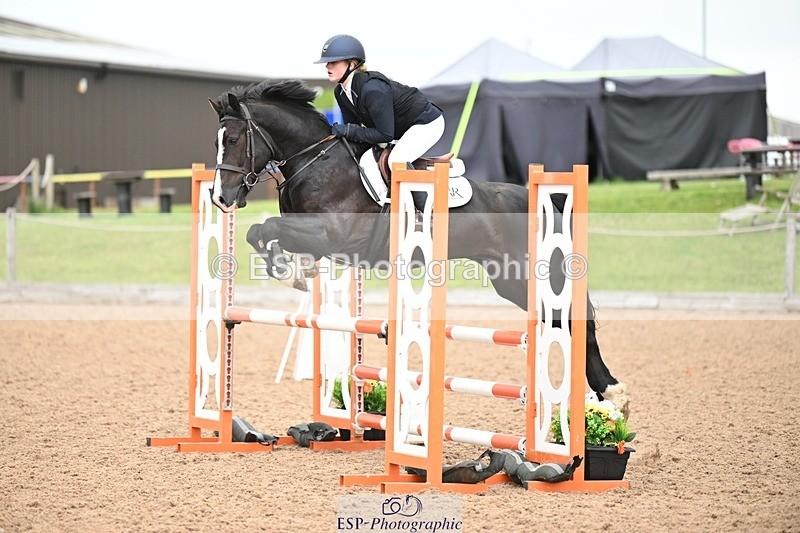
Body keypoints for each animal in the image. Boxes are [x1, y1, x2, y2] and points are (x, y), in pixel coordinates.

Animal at [208, 80, 629, 414]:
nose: (221, 198)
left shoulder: (332, 234)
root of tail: (544, 201)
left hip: (531, 274)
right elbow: (259, 232)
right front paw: (293, 270)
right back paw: (604, 397)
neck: (314, 158)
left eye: (233, 140)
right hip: (510, 281)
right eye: (217, 142)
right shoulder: (318, 239)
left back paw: (612, 394)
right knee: (563, 320)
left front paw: (288, 271)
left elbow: (267, 228)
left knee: (578, 319)